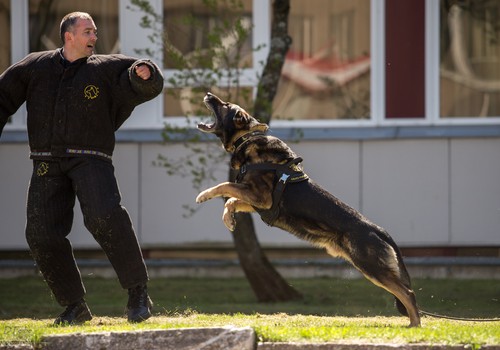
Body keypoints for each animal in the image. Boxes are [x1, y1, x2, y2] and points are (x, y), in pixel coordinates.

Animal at [196, 91, 422, 326]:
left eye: (225, 105)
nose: (208, 94)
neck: (246, 139)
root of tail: (380, 231)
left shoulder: (261, 197)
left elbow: (225, 186)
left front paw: (204, 195)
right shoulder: (255, 201)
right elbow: (231, 200)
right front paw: (228, 219)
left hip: (371, 266)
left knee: (408, 293)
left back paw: (414, 326)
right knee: (404, 292)